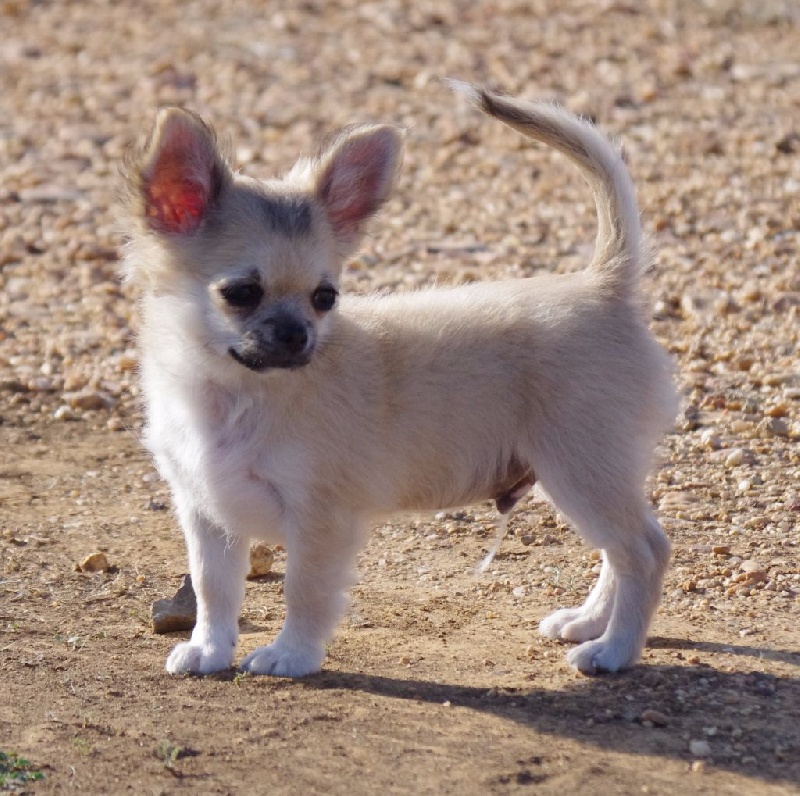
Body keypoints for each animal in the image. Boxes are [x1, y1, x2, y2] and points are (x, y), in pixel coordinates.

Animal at [123, 84, 676, 676]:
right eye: (241, 293)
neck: (235, 393)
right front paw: (209, 648)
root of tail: (602, 286)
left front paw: (291, 655)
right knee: (618, 551)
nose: (297, 336)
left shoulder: (320, 518)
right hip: (586, 476)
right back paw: (589, 623)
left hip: (580, 471)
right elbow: (214, 588)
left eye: (325, 298)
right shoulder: (206, 512)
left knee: (644, 551)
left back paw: (615, 650)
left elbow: (305, 591)